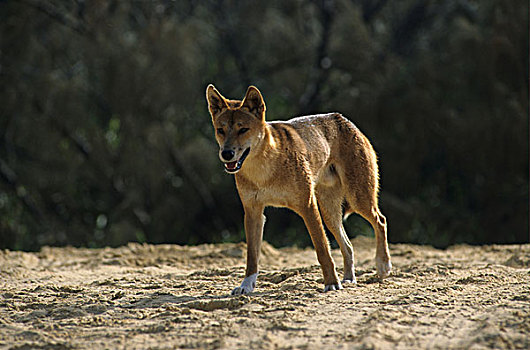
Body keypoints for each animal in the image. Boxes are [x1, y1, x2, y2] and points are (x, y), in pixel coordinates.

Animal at [204, 84, 390, 292]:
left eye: (243, 129)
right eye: (221, 130)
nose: (227, 154)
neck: (264, 170)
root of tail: (344, 119)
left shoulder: (307, 206)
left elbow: (323, 250)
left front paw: (331, 283)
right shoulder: (253, 212)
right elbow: (252, 256)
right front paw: (246, 286)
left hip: (357, 199)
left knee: (380, 221)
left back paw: (382, 266)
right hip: (330, 214)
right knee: (348, 246)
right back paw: (349, 279)